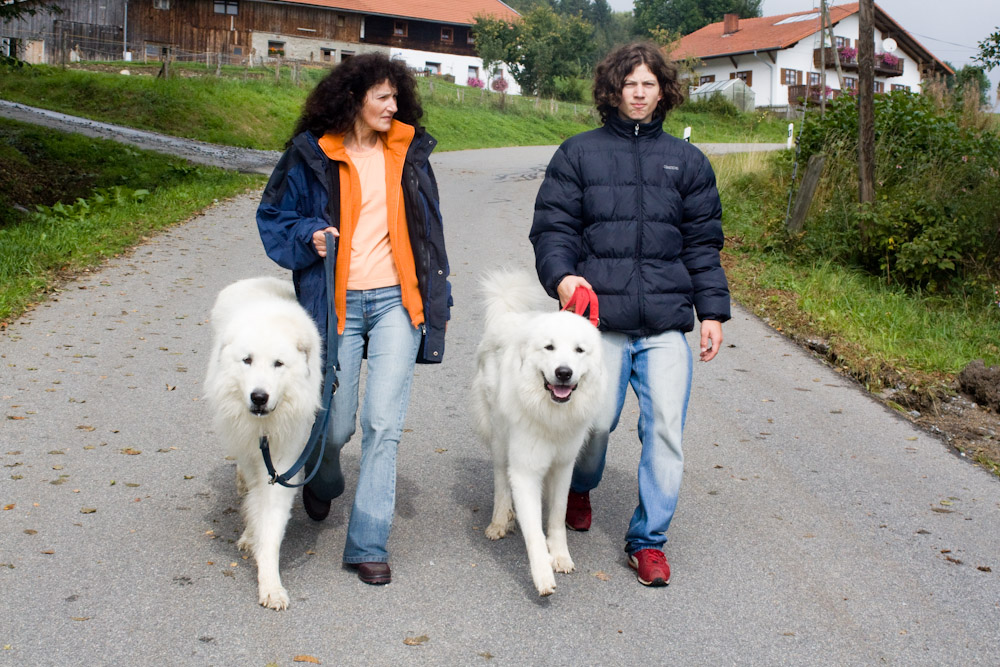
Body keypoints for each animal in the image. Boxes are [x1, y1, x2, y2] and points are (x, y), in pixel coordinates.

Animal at [205, 276, 322, 612]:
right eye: (247, 360)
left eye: (278, 364)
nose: (259, 397)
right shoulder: (253, 449)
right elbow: (256, 500)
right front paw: (250, 537)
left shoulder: (283, 462)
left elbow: (270, 522)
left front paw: (271, 586)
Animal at [472, 268, 604, 596]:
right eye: (549, 347)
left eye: (579, 350)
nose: (563, 373)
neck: (552, 413)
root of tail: (508, 315)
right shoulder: (525, 470)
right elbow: (532, 530)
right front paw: (543, 575)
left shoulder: (563, 465)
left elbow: (556, 515)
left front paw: (560, 555)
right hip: (499, 437)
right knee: (500, 479)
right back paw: (499, 521)